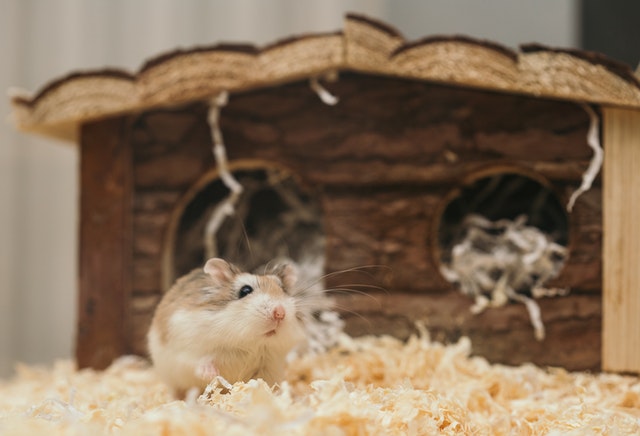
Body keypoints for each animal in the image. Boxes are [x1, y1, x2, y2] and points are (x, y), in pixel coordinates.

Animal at [147, 257, 306, 396]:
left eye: (283, 290)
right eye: (245, 291)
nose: (280, 313)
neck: (248, 344)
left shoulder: (269, 366)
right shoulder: (187, 349)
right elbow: (199, 362)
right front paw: (212, 374)